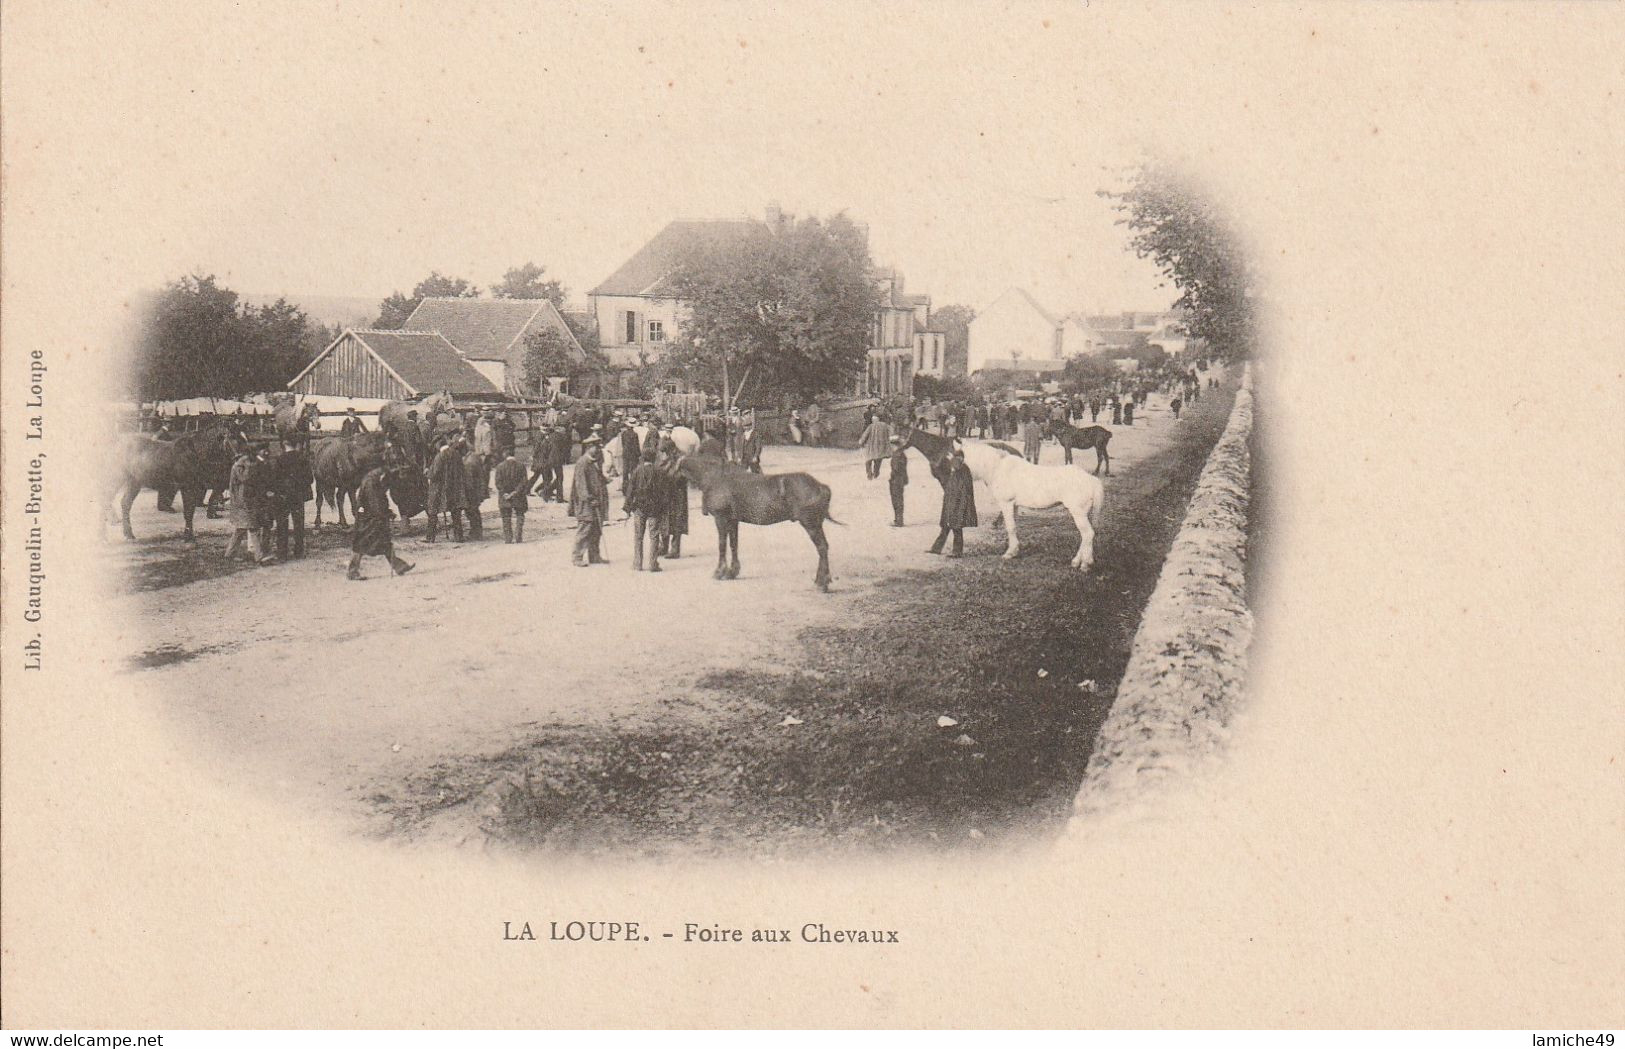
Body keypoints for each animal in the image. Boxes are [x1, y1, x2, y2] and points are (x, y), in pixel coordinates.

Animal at [676, 454, 845, 597]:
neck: (715, 477)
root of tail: (821, 486)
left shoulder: (721, 519)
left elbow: (722, 545)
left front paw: (719, 572)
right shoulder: (733, 521)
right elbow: (733, 545)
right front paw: (732, 572)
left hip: (811, 524)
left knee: (822, 548)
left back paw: (822, 583)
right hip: (816, 524)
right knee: (824, 548)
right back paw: (820, 581)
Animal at [962, 444, 1105, 574]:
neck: (998, 468)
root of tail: (1092, 479)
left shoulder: (1006, 504)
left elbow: (1010, 527)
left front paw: (1009, 553)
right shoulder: (1014, 505)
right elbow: (1014, 526)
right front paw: (1015, 551)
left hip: (1078, 512)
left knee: (1088, 534)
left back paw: (1085, 565)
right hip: (1084, 513)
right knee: (1087, 536)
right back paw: (1076, 562)